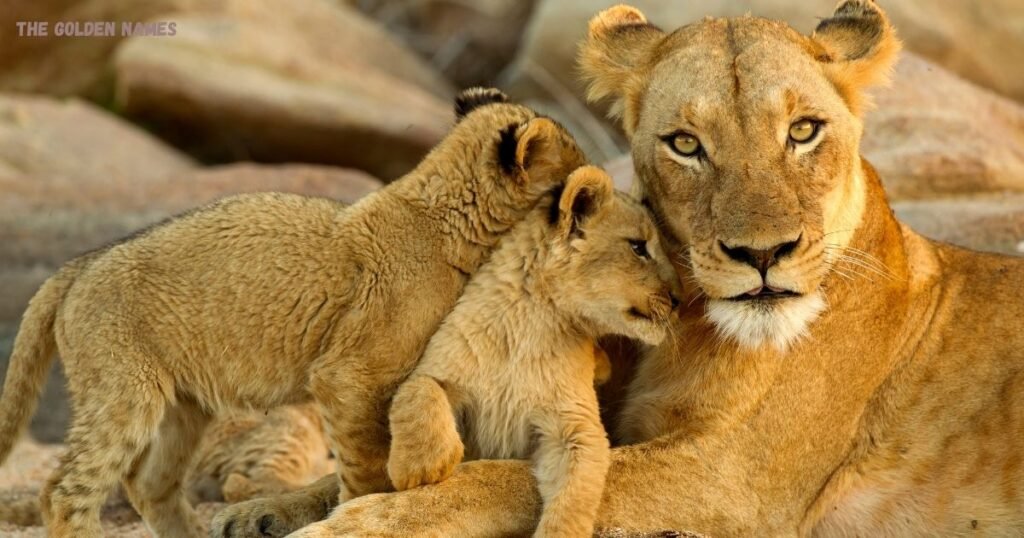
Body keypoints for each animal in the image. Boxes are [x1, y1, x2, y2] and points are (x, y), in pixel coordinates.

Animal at [0, 87, 588, 538]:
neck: (444, 217)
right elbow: (366, 464)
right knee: (63, 491)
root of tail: (78, 264)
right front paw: (363, 504)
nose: (594, 189)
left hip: (183, 404)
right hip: (125, 391)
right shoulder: (350, 375)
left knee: (148, 484)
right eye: (576, 166)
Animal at [381, 165, 681, 538]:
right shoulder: (439, 364)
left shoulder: (574, 426)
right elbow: (416, 391)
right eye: (639, 247)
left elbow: (574, 497)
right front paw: (421, 468)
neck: (533, 323)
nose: (679, 299)